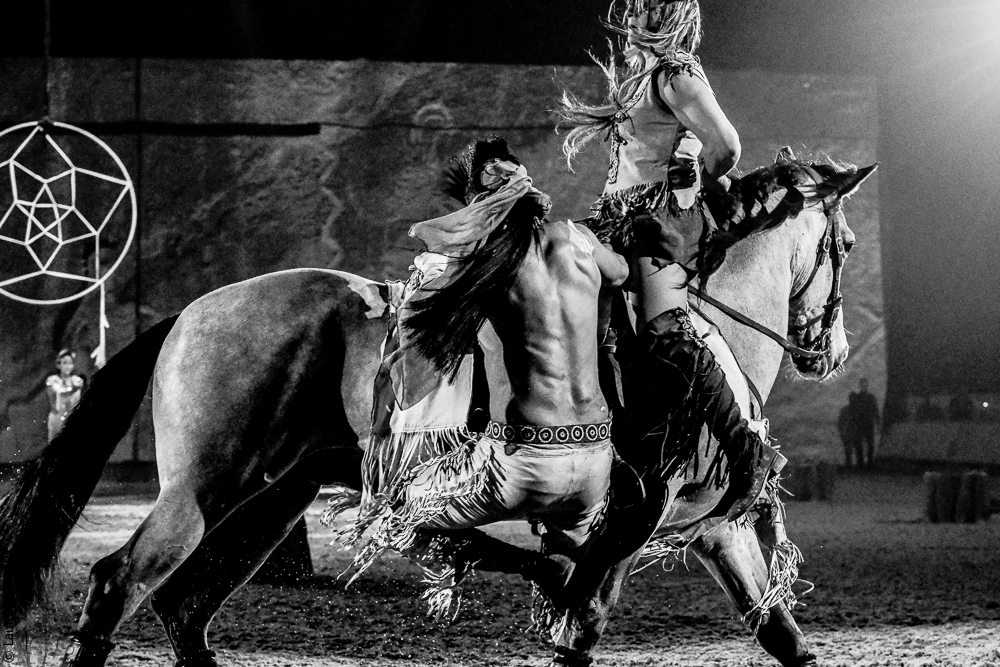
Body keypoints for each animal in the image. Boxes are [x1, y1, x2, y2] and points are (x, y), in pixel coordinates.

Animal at [0, 152, 877, 667]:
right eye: (846, 247)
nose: (829, 351)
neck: (695, 331)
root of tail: (189, 311)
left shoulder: (713, 526)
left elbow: (778, 630)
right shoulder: (633, 514)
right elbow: (585, 616)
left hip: (273, 499)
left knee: (184, 607)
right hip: (200, 490)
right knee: (121, 582)